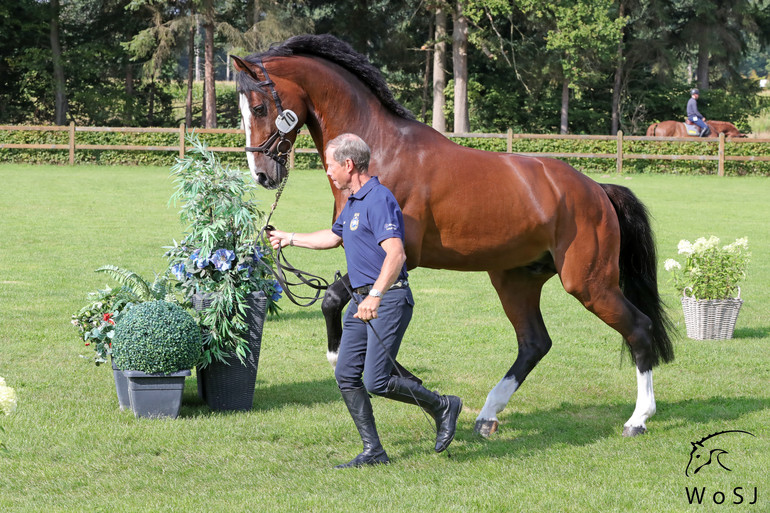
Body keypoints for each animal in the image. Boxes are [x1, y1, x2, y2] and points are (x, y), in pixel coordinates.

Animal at [230, 34, 672, 438]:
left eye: (259, 107)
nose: (262, 175)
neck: (382, 152)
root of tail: (596, 189)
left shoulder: (400, 256)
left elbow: (339, 299)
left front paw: (348, 356)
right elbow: (341, 302)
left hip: (588, 283)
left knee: (639, 328)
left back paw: (638, 419)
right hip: (516, 280)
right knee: (534, 343)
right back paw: (488, 415)